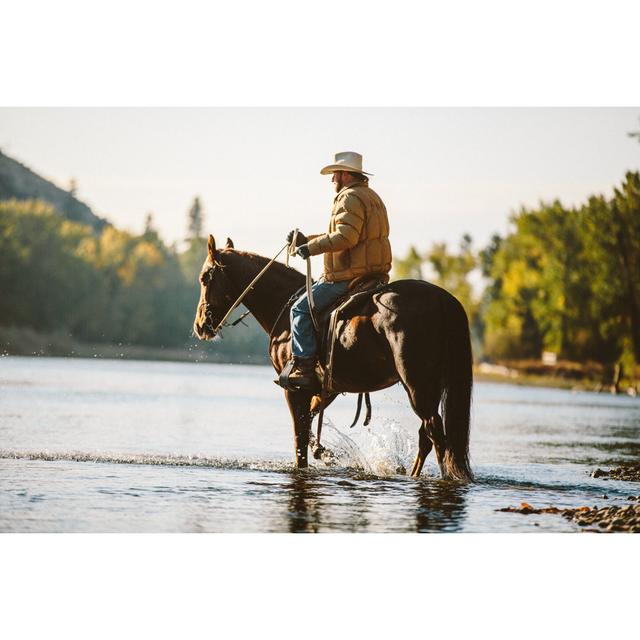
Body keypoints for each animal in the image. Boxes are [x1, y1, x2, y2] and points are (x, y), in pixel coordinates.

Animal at [192, 235, 472, 480]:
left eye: (205, 277)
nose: (200, 325)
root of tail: (443, 299)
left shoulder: (293, 389)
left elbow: (300, 439)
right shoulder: (327, 389)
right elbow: (310, 426)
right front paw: (325, 453)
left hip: (417, 386)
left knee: (436, 435)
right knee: (427, 436)